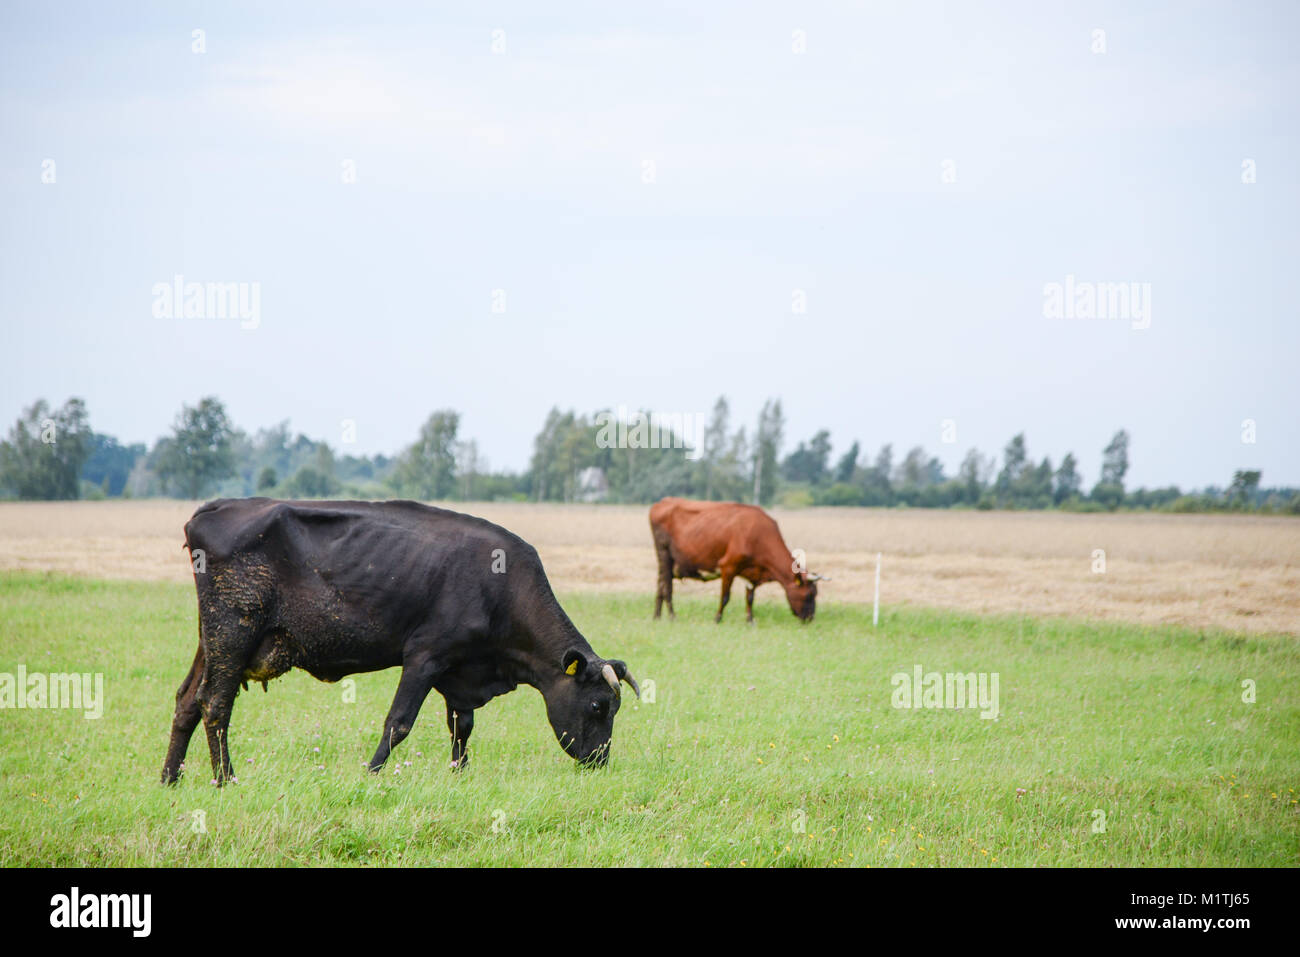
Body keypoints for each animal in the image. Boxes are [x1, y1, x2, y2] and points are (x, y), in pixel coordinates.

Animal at [161, 498, 639, 786]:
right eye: (598, 705)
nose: (600, 762)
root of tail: (214, 508)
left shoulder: (460, 668)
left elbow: (462, 726)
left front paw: (459, 774)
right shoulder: (426, 656)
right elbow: (399, 722)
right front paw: (371, 774)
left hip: (213, 639)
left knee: (187, 700)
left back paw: (171, 778)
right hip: (233, 630)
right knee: (215, 703)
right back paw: (226, 780)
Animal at [649, 497, 825, 624]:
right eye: (809, 595)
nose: (810, 618)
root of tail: (662, 502)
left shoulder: (752, 572)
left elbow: (750, 598)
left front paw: (750, 620)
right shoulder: (728, 566)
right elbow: (725, 597)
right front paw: (717, 619)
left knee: (660, 585)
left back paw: (657, 617)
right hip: (664, 555)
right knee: (667, 588)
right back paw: (672, 617)